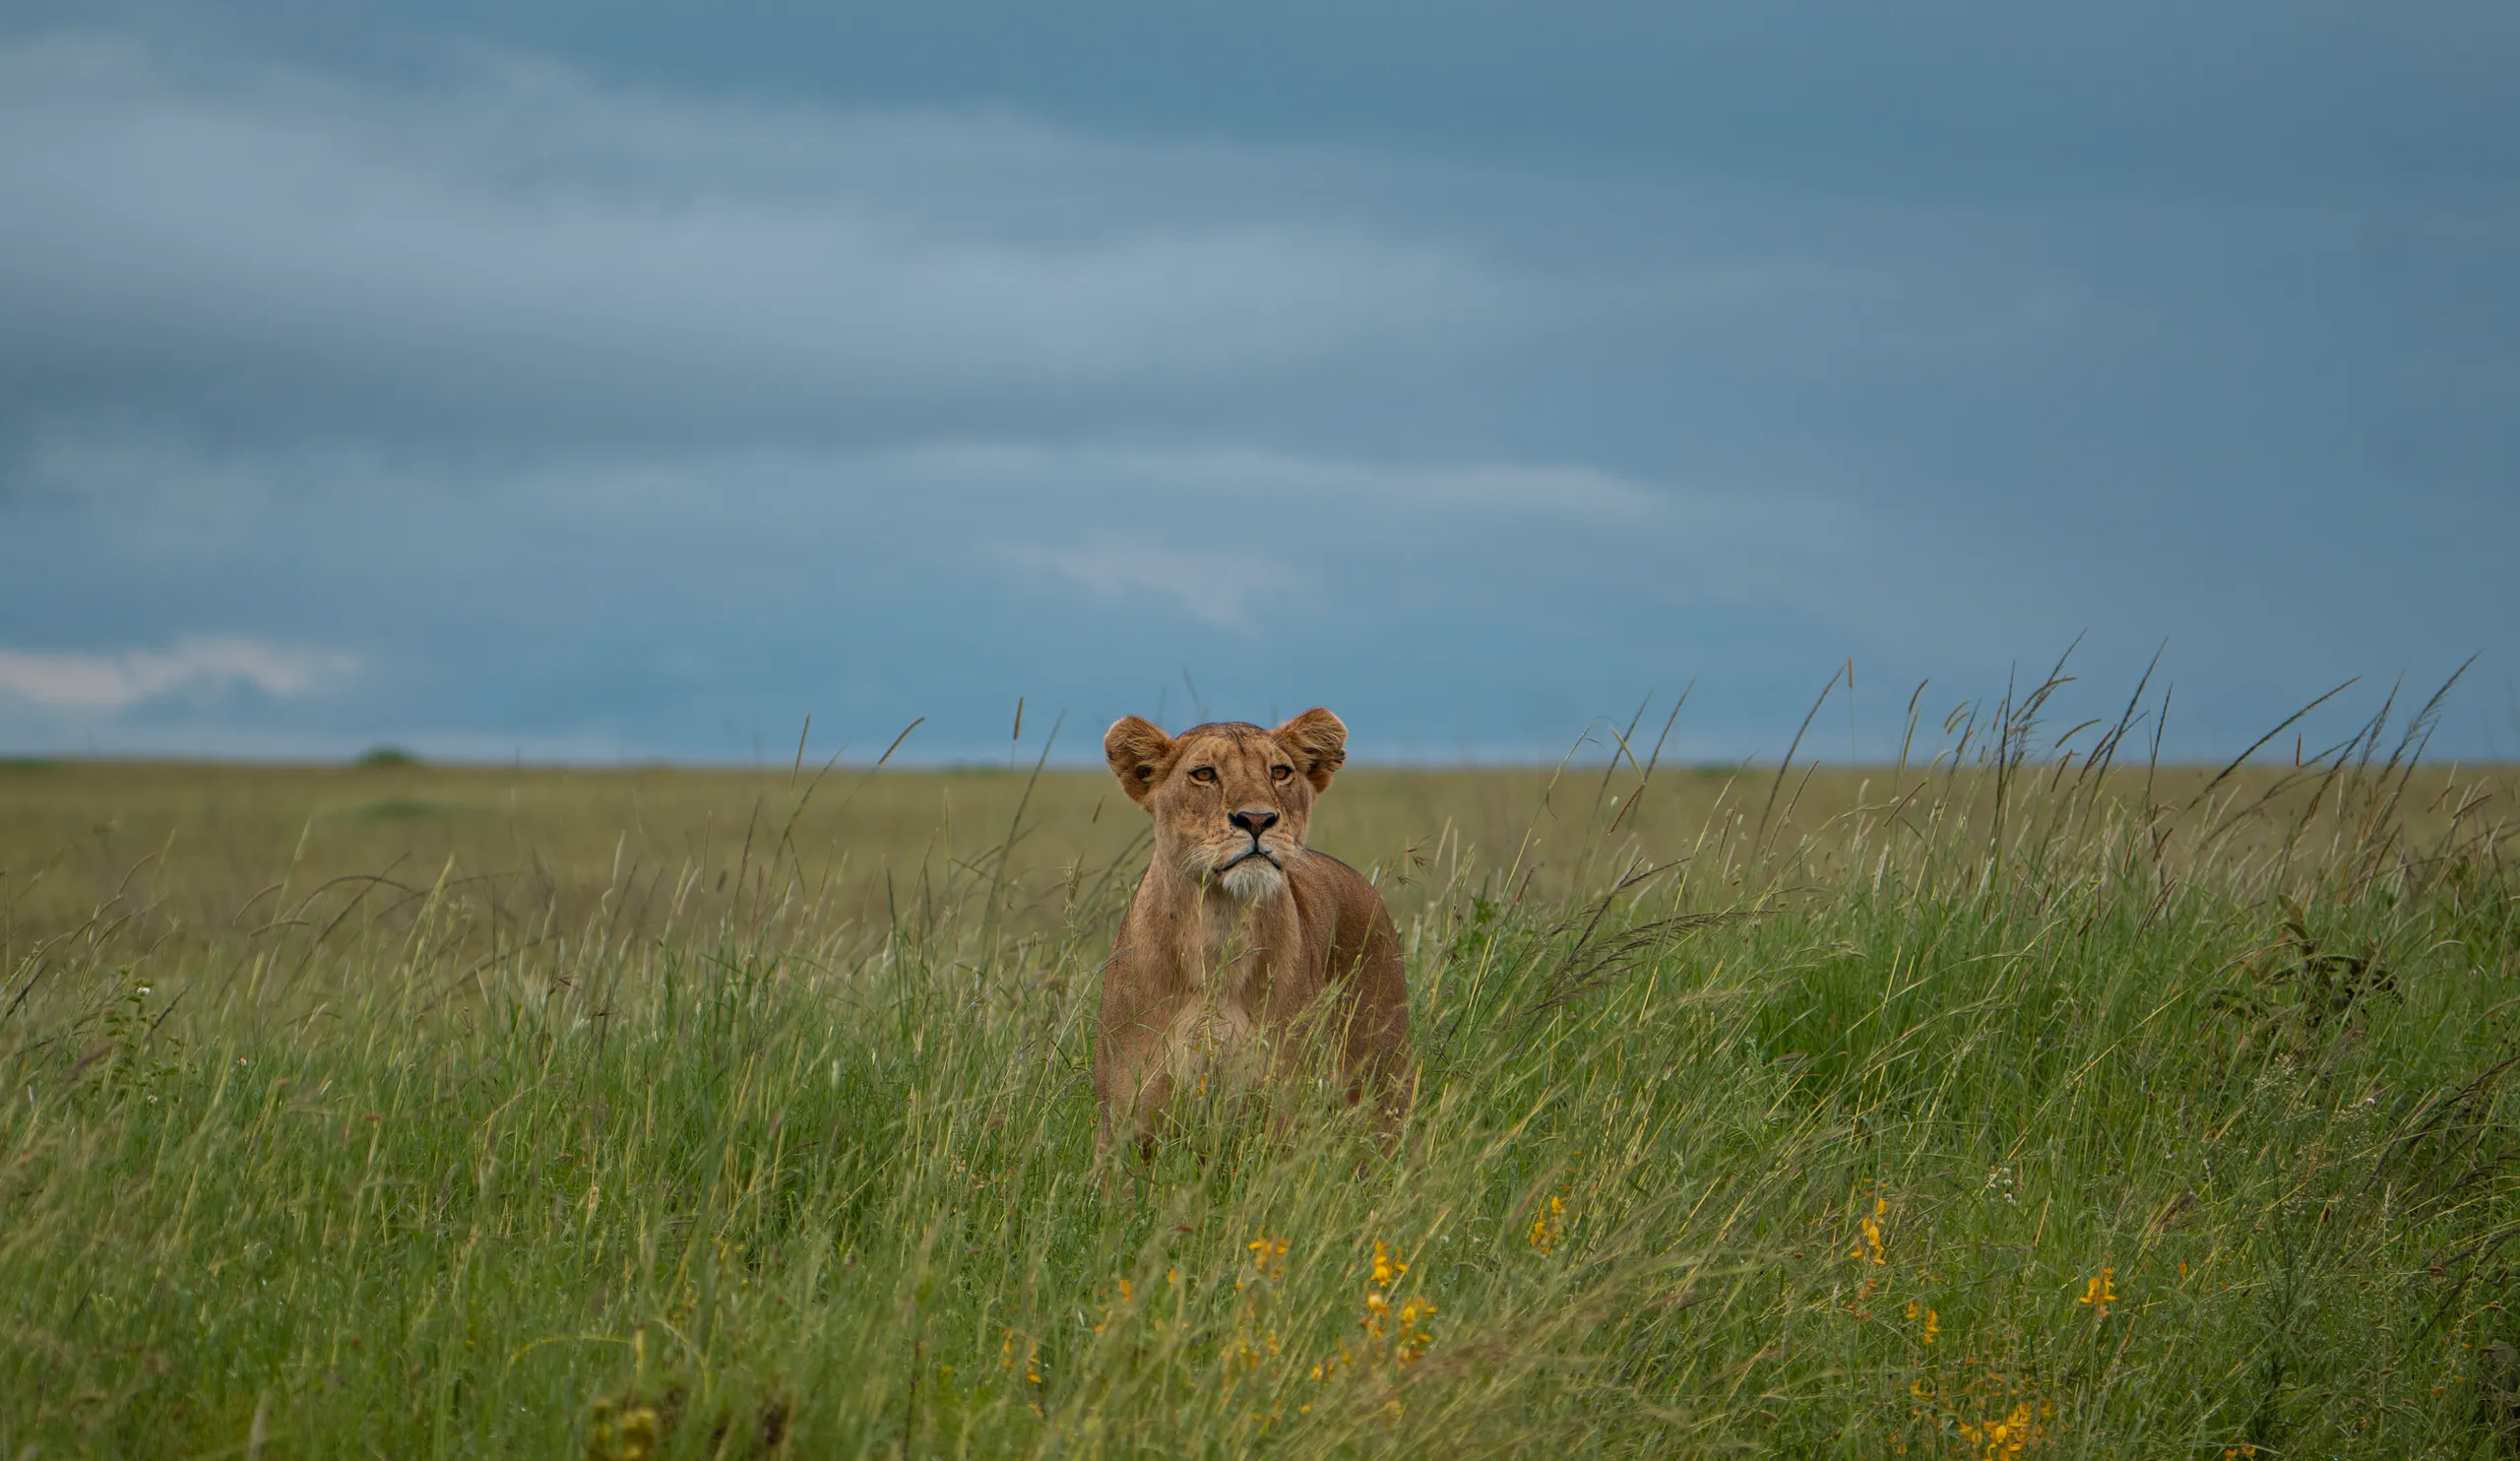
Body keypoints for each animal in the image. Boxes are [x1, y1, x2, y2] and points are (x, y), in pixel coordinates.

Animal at [1094, 707, 1412, 1170]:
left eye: (1280, 772)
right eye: (1204, 774)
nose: (1258, 820)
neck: (1218, 928)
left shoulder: (1284, 1115)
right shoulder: (1124, 1128)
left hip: (1384, 1091)